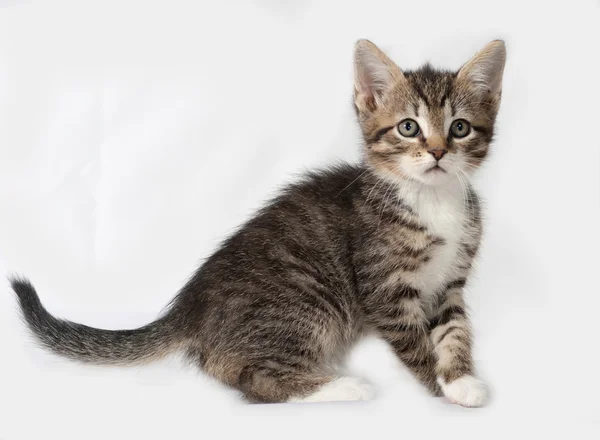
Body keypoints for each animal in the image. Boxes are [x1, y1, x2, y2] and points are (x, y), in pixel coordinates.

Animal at [10, 39, 506, 408]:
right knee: (250, 377)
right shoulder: (384, 289)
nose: (438, 151)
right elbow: (415, 342)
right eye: (408, 127)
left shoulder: (449, 282)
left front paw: (460, 378)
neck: (432, 199)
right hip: (309, 301)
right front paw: (440, 386)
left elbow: (455, 330)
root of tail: (190, 306)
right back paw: (341, 385)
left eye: (459, 128)